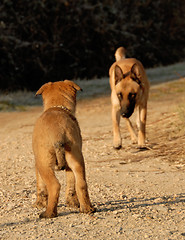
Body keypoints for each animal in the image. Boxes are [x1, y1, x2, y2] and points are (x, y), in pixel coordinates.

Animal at [32, 80, 94, 218]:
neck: (57, 106)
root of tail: (58, 133)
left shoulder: (37, 163)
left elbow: (40, 186)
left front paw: (39, 203)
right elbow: (71, 183)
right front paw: (72, 203)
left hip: (44, 163)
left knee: (54, 186)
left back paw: (48, 213)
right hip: (76, 158)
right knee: (81, 184)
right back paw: (87, 209)